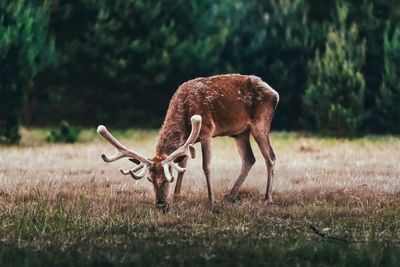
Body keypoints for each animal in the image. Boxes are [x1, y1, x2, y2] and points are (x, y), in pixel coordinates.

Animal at [97, 74, 278, 210]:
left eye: (167, 179)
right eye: (149, 179)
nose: (160, 205)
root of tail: (275, 94)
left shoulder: (206, 130)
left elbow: (206, 166)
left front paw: (211, 201)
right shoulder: (187, 142)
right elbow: (182, 167)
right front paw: (176, 197)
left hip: (260, 122)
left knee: (270, 158)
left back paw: (267, 198)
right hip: (240, 132)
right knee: (249, 159)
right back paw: (230, 196)